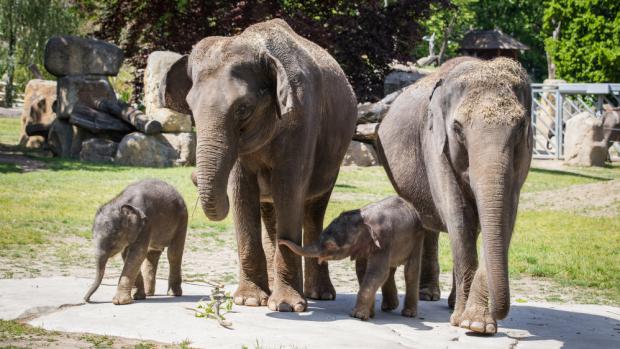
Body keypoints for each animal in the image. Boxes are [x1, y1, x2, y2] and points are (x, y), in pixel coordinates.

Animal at [160, 20, 356, 312]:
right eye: (191, 110)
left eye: (243, 109)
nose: (193, 175)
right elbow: (242, 191)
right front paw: (250, 300)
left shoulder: (302, 121)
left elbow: (288, 189)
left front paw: (287, 306)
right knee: (270, 210)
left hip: (334, 157)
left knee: (313, 209)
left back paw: (319, 295)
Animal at [280, 194, 426, 320]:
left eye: (331, 245)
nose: (280, 241)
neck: (364, 220)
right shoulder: (366, 246)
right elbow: (362, 270)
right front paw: (370, 314)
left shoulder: (383, 241)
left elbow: (376, 273)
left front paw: (358, 316)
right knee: (390, 270)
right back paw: (389, 307)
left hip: (417, 238)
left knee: (410, 271)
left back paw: (408, 314)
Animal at [376, 57, 536, 334]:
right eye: (457, 128)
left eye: (520, 127)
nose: (501, 311)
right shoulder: (434, 142)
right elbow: (459, 215)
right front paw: (469, 322)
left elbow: (505, 216)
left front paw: (477, 325)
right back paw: (429, 295)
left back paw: (450, 303)